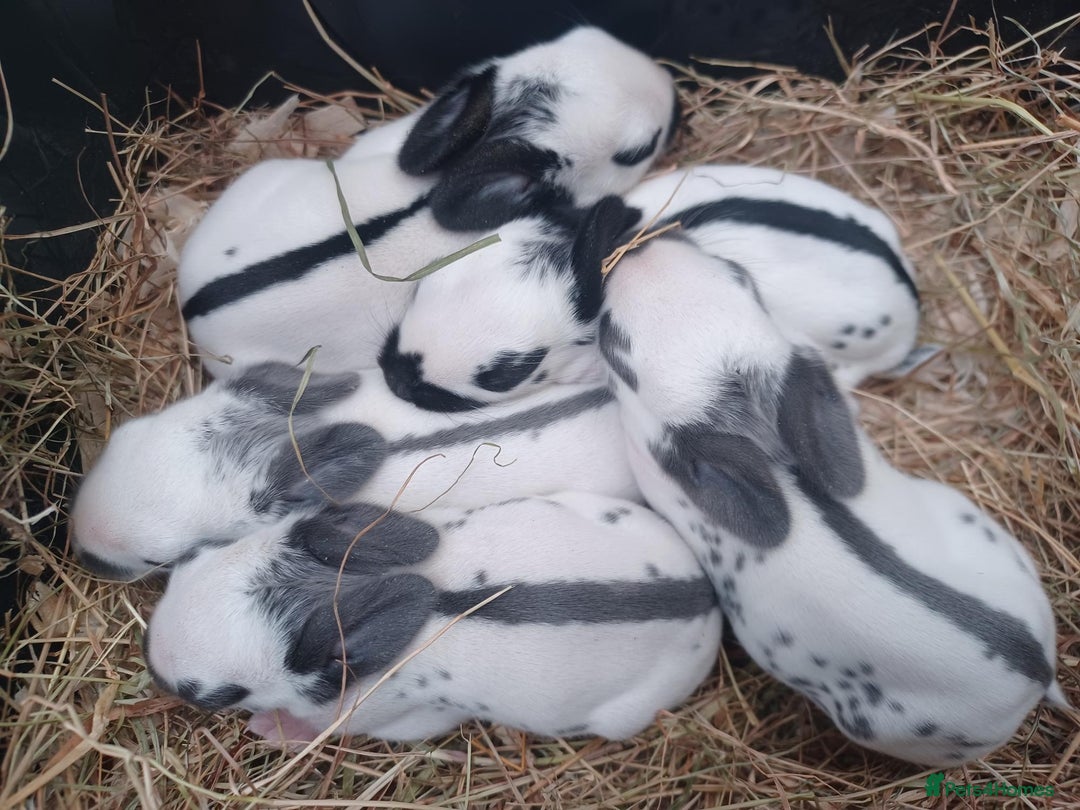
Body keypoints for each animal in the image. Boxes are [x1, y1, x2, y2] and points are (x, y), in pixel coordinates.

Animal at [143, 492, 722, 743]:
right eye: (193, 558)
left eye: (218, 695)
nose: (151, 657)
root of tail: (709, 603)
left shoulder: (405, 719)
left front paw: (272, 727)